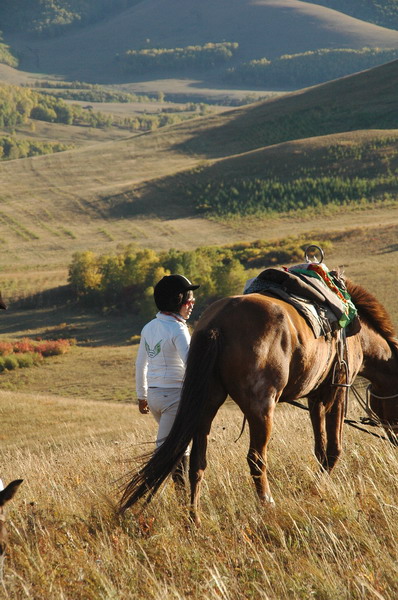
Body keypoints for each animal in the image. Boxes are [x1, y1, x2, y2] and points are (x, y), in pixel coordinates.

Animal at [120, 282, 398, 524]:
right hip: (261, 409)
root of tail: (218, 323)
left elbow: (319, 448)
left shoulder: (315, 396)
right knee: (256, 458)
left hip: (206, 407)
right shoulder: (338, 389)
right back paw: (267, 505)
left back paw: (194, 518)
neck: (356, 333)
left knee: (196, 461)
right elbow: (333, 450)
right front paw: (317, 487)